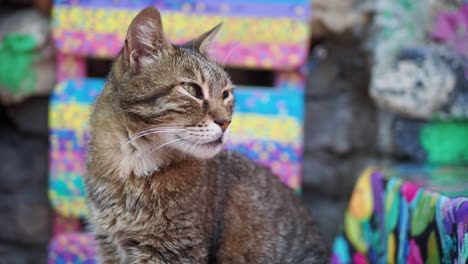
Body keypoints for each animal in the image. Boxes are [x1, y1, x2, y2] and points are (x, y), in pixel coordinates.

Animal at [86, 6, 328, 264]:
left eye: (226, 94)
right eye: (192, 89)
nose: (226, 122)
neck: (130, 166)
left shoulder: (174, 250)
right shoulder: (109, 246)